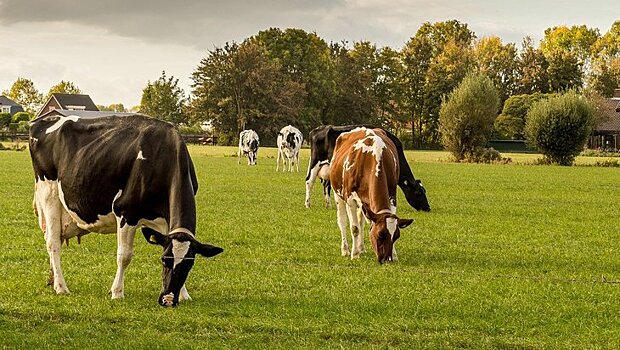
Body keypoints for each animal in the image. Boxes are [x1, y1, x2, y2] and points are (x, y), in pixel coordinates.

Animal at [29, 113, 223, 306]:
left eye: (190, 265)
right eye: (164, 260)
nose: (167, 300)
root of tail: (45, 119)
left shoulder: (166, 223)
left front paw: (183, 294)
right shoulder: (126, 212)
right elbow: (124, 255)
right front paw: (117, 292)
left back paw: (52, 280)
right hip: (49, 194)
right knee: (53, 243)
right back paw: (61, 287)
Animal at [332, 126, 414, 262]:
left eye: (396, 236)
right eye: (380, 234)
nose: (387, 260)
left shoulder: (392, 196)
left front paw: (394, 254)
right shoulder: (350, 199)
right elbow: (354, 228)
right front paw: (354, 254)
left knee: (361, 221)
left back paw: (362, 248)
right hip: (338, 195)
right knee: (342, 221)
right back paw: (346, 250)